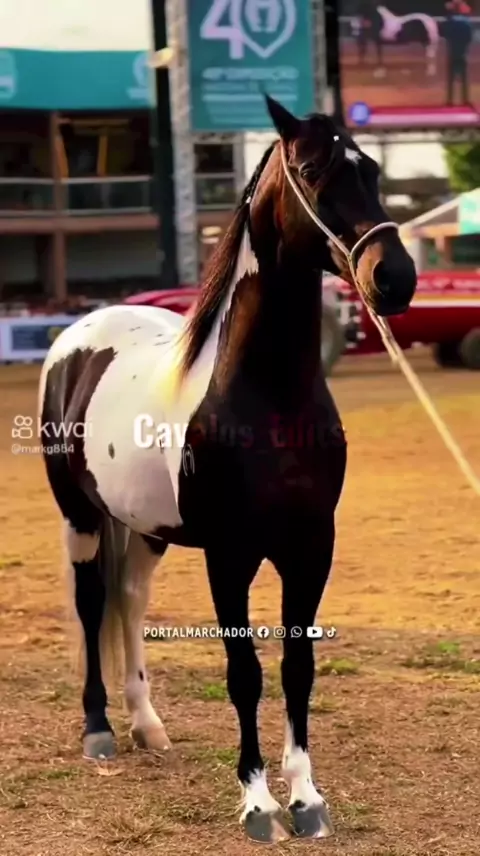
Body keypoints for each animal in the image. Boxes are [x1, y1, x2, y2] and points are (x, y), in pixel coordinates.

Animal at [38, 95, 417, 843]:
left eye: (372, 168)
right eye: (311, 169)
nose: (395, 279)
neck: (268, 395)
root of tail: (78, 336)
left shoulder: (311, 548)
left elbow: (297, 667)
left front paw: (307, 799)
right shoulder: (230, 555)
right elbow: (244, 671)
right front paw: (259, 804)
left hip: (144, 529)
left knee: (129, 602)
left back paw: (147, 726)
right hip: (82, 516)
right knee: (93, 602)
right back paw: (99, 731)